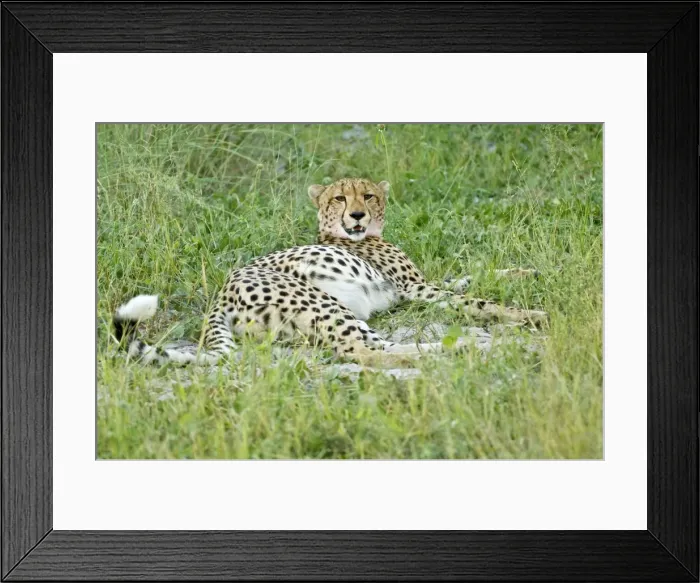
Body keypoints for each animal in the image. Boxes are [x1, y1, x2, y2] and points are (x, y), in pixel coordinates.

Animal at [113, 177, 547, 367]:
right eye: (339, 198)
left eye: (368, 195)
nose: (356, 215)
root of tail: (220, 295)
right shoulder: (417, 290)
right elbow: (477, 300)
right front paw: (530, 314)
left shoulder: (417, 287)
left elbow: (472, 274)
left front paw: (530, 272)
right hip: (324, 303)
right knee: (361, 353)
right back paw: (473, 348)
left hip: (339, 316)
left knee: (378, 346)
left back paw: (467, 347)